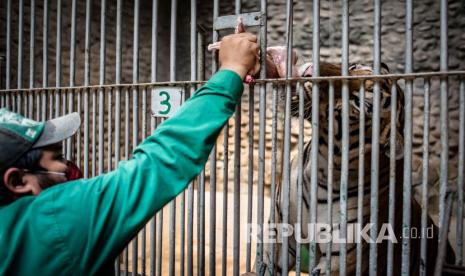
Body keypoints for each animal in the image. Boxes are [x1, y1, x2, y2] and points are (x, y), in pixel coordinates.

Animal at [260, 61, 454, 274]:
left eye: (357, 102)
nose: (310, 71)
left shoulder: (338, 262)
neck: (321, 166)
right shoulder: (279, 230)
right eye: (352, 67)